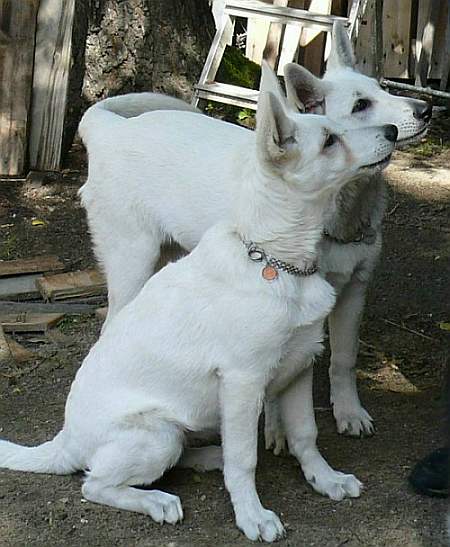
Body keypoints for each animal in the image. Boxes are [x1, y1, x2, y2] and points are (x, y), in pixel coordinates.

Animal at [0, 64, 396, 544]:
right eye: (329, 141)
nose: (393, 131)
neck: (277, 262)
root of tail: (65, 441)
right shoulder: (243, 382)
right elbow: (245, 459)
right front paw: (252, 515)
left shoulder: (300, 366)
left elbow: (306, 434)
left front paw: (326, 479)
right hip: (156, 427)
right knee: (95, 482)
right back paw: (158, 500)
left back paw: (209, 457)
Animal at [78, 23, 432, 444]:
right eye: (361, 105)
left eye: (383, 88)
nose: (426, 110)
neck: (336, 208)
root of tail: (110, 128)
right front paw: (277, 429)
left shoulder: (353, 290)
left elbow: (343, 360)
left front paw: (348, 411)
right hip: (133, 262)